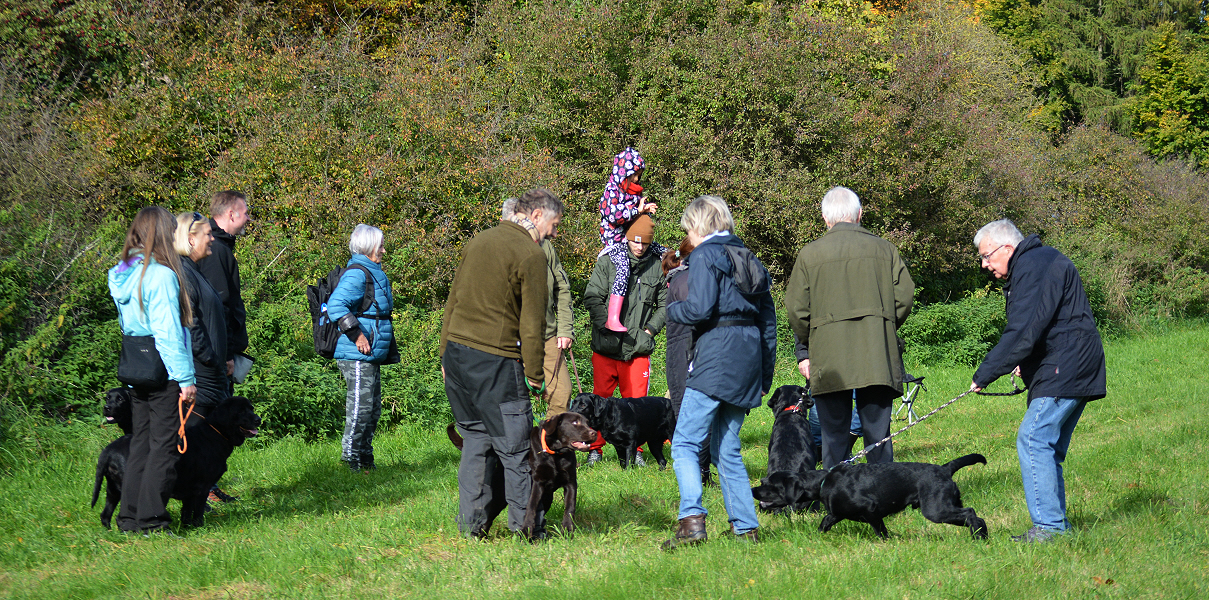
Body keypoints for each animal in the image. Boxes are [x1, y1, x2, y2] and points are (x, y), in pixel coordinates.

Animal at [91, 396, 259, 527]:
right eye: (241, 411)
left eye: (251, 408)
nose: (258, 419)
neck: (216, 433)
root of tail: (109, 450)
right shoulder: (203, 487)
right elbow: (198, 511)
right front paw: (200, 527)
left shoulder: (190, 490)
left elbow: (186, 511)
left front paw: (189, 527)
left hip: (113, 489)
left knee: (105, 515)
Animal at [519, 411, 594, 541]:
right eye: (575, 422)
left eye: (587, 423)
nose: (594, 433)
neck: (555, 453)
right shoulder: (538, 482)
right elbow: (531, 505)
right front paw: (526, 530)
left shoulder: (571, 482)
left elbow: (569, 507)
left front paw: (567, 531)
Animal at [754, 452, 991, 541]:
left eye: (768, 485)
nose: (753, 491)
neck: (822, 482)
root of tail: (945, 469)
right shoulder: (836, 513)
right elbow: (825, 522)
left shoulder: (871, 510)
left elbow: (880, 530)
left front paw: (887, 542)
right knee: (973, 515)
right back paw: (981, 536)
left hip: (935, 509)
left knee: (971, 513)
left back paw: (979, 537)